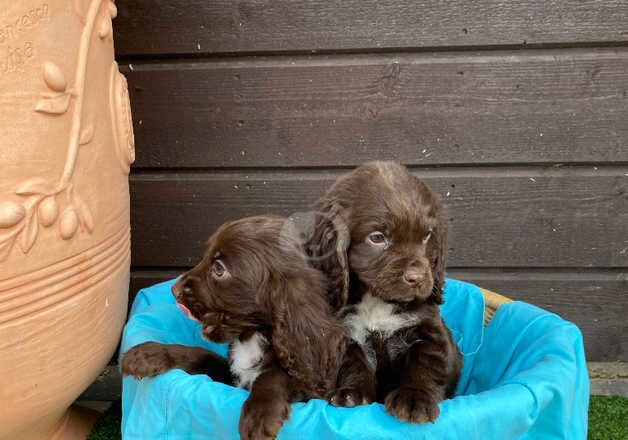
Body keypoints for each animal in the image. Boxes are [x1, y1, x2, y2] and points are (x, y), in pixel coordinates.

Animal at [120, 215, 346, 438]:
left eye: (219, 269)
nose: (174, 290)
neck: (252, 337)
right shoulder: (230, 374)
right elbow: (200, 354)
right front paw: (148, 354)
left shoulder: (309, 386)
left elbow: (275, 374)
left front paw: (259, 414)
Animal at [310, 161, 462, 422]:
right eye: (377, 238)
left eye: (427, 235)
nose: (417, 278)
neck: (377, 299)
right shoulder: (348, 334)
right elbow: (354, 366)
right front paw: (353, 393)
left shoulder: (428, 330)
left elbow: (425, 364)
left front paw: (415, 397)